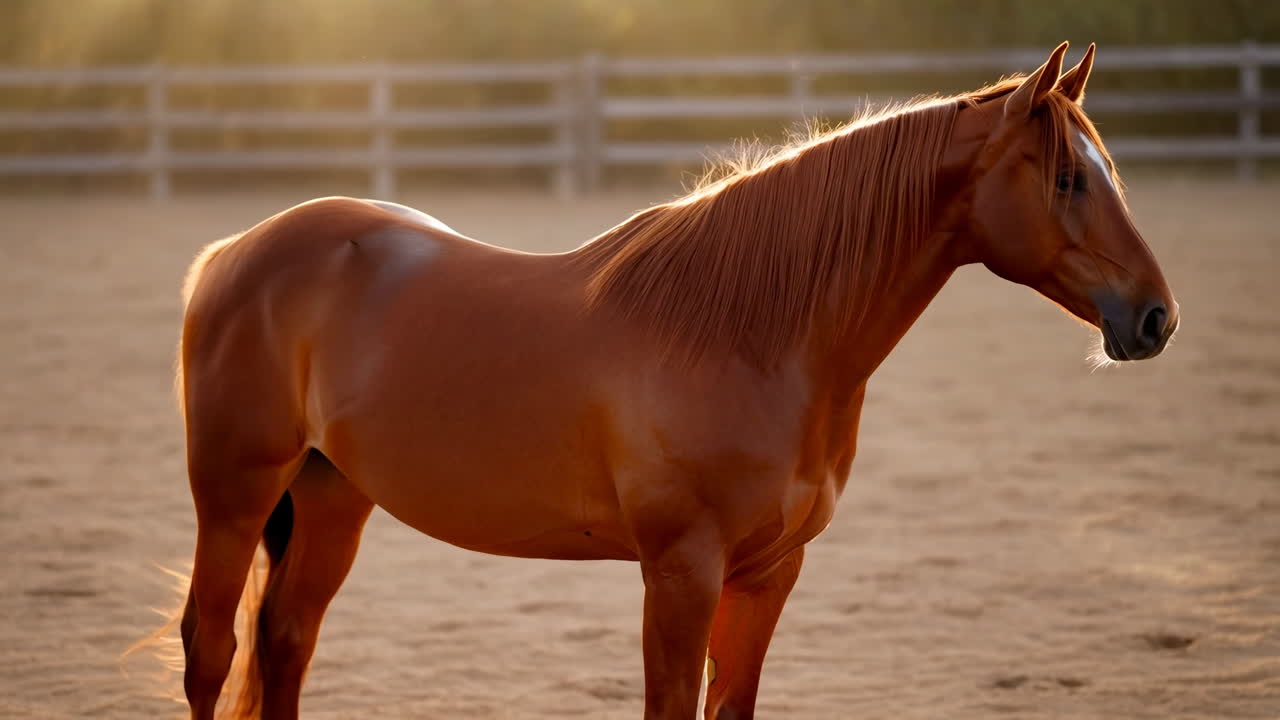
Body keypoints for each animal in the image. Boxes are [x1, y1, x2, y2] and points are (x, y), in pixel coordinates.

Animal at [162, 42, 1177, 719]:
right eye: (1066, 178)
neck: (749, 337)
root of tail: (234, 252)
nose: (1155, 317)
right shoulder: (681, 572)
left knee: (286, 642)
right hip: (235, 496)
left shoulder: (770, 573)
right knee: (212, 650)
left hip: (333, 496)